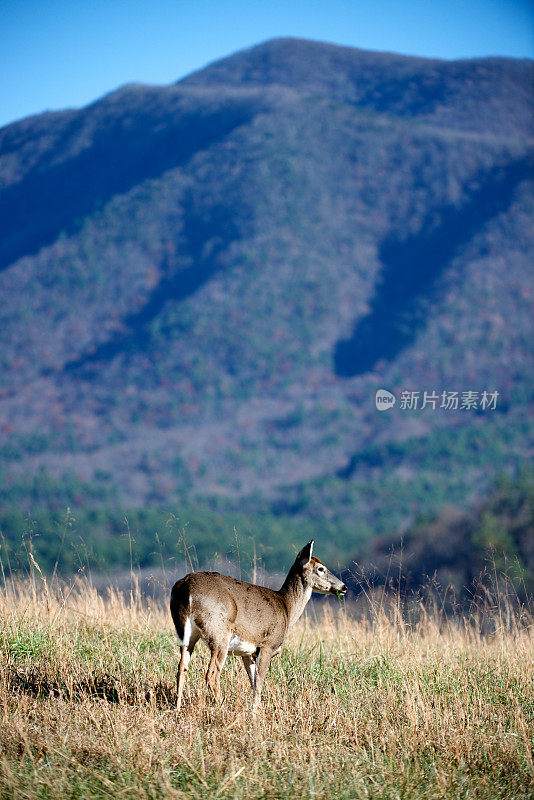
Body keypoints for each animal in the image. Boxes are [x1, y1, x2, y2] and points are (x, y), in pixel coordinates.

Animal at [171, 540, 348, 716]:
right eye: (321, 568)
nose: (344, 587)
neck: (287, 608)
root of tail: (185, 587)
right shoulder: (268, 645)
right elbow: (259, 682)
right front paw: (255, 714)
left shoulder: (248, 652)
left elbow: (252, 680)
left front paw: (257, 710)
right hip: (218, 633)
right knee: (212, 674)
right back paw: (222, 709)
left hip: (187, 634)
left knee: (181, 668)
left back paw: (177, 709)